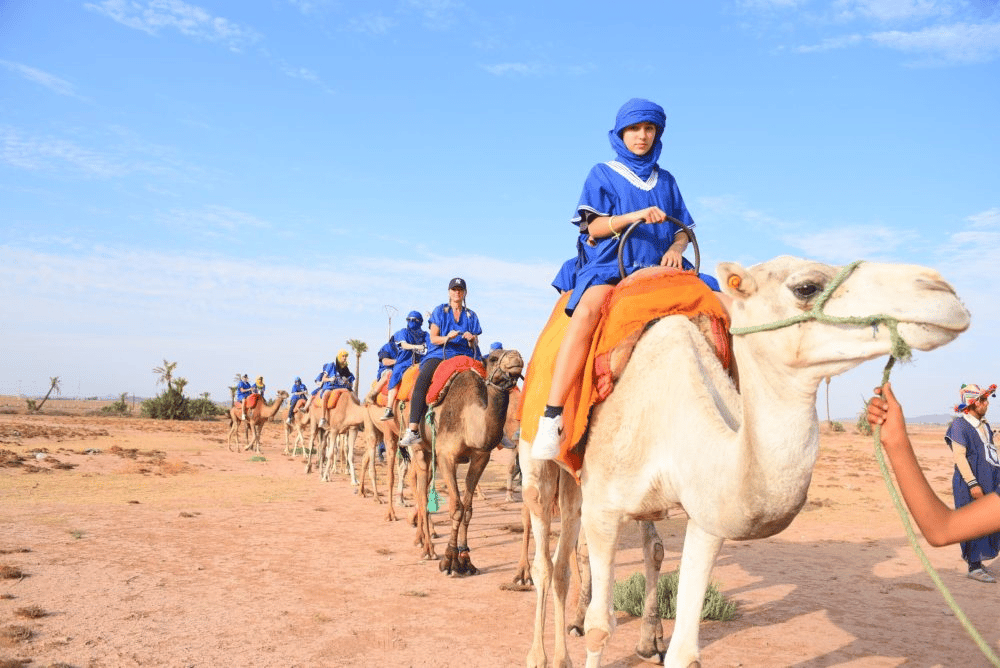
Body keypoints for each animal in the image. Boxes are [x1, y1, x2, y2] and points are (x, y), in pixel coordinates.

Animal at [400, 347, 524, 573]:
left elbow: (467, 510)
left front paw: (465, 558)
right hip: (419, 448)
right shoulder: (446, 456)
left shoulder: (480, 457)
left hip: (431, 454)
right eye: (494, 358)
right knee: (420, 490)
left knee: (422, 484)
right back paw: (428, 549)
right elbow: (456, 508)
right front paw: (450, 560)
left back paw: (422, 538)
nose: (516, 358)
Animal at [519, 257, 970, 668]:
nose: (943, 290)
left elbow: (686, 650)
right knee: (548, 560)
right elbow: (600, 627)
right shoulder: (605, 509)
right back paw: (545, 655)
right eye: (806, 287)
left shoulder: (707, 511)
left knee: (615, 549)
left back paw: (633, 643)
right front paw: (586, 630)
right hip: (538, 463)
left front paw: (665, 645)